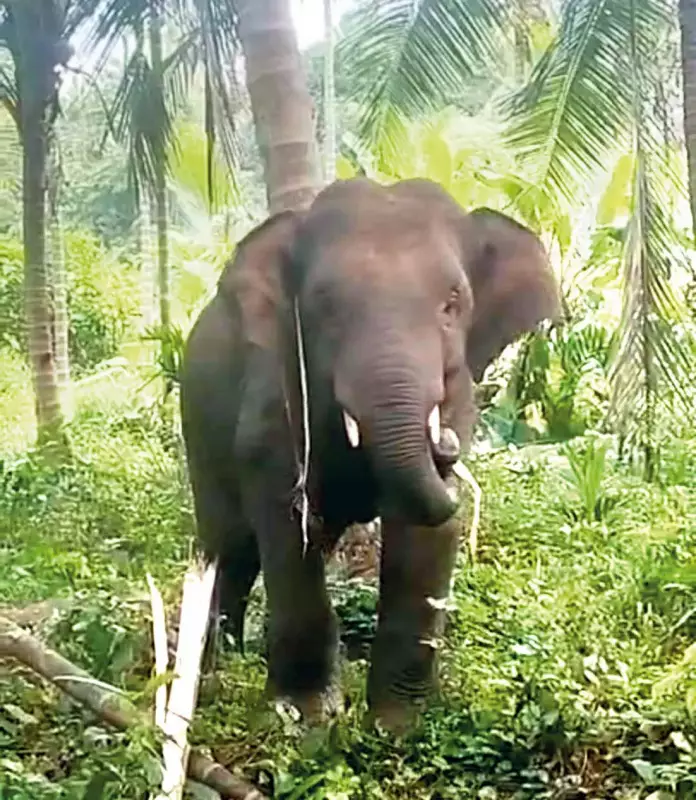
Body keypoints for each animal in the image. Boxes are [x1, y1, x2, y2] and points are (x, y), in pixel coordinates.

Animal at [179, 176, 561, 732]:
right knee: (227, 549)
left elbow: (420, 535)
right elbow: (285, 515)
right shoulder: (273, 388)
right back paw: (212, 675)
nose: (447, 448)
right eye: (323, 306)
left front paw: (398, 724)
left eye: (453, 302)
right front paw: (306, 716)